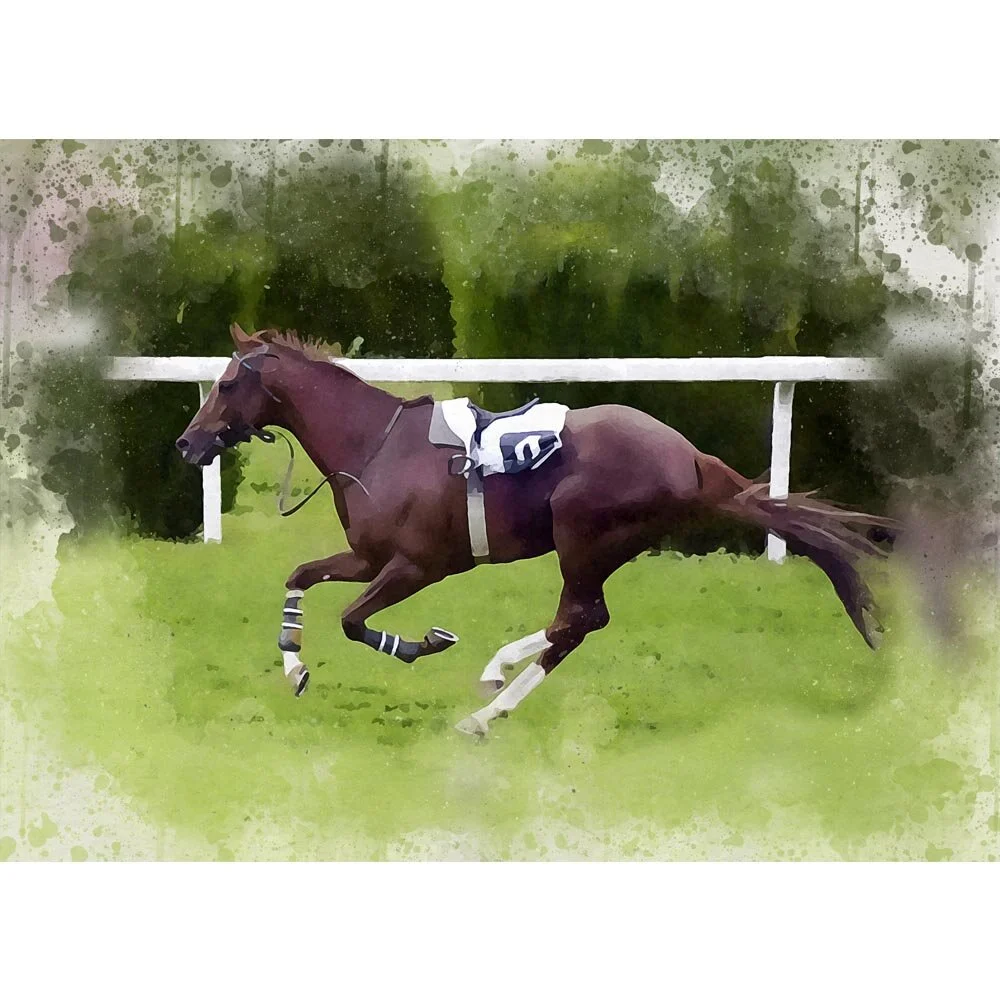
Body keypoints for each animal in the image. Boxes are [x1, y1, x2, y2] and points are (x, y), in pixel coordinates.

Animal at [176, 324, 896, 736]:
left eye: (229, 382)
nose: (188, 442)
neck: (374, 445)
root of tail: (689, 457)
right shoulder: (367, 556)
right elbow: (299, 576)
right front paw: (294, 666)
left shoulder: (418, 565)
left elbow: (354, 621)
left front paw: (424, 644)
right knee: (578, 623)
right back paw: (492, 695)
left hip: (583, 536)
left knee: (576, 621)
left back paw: (488, 698)